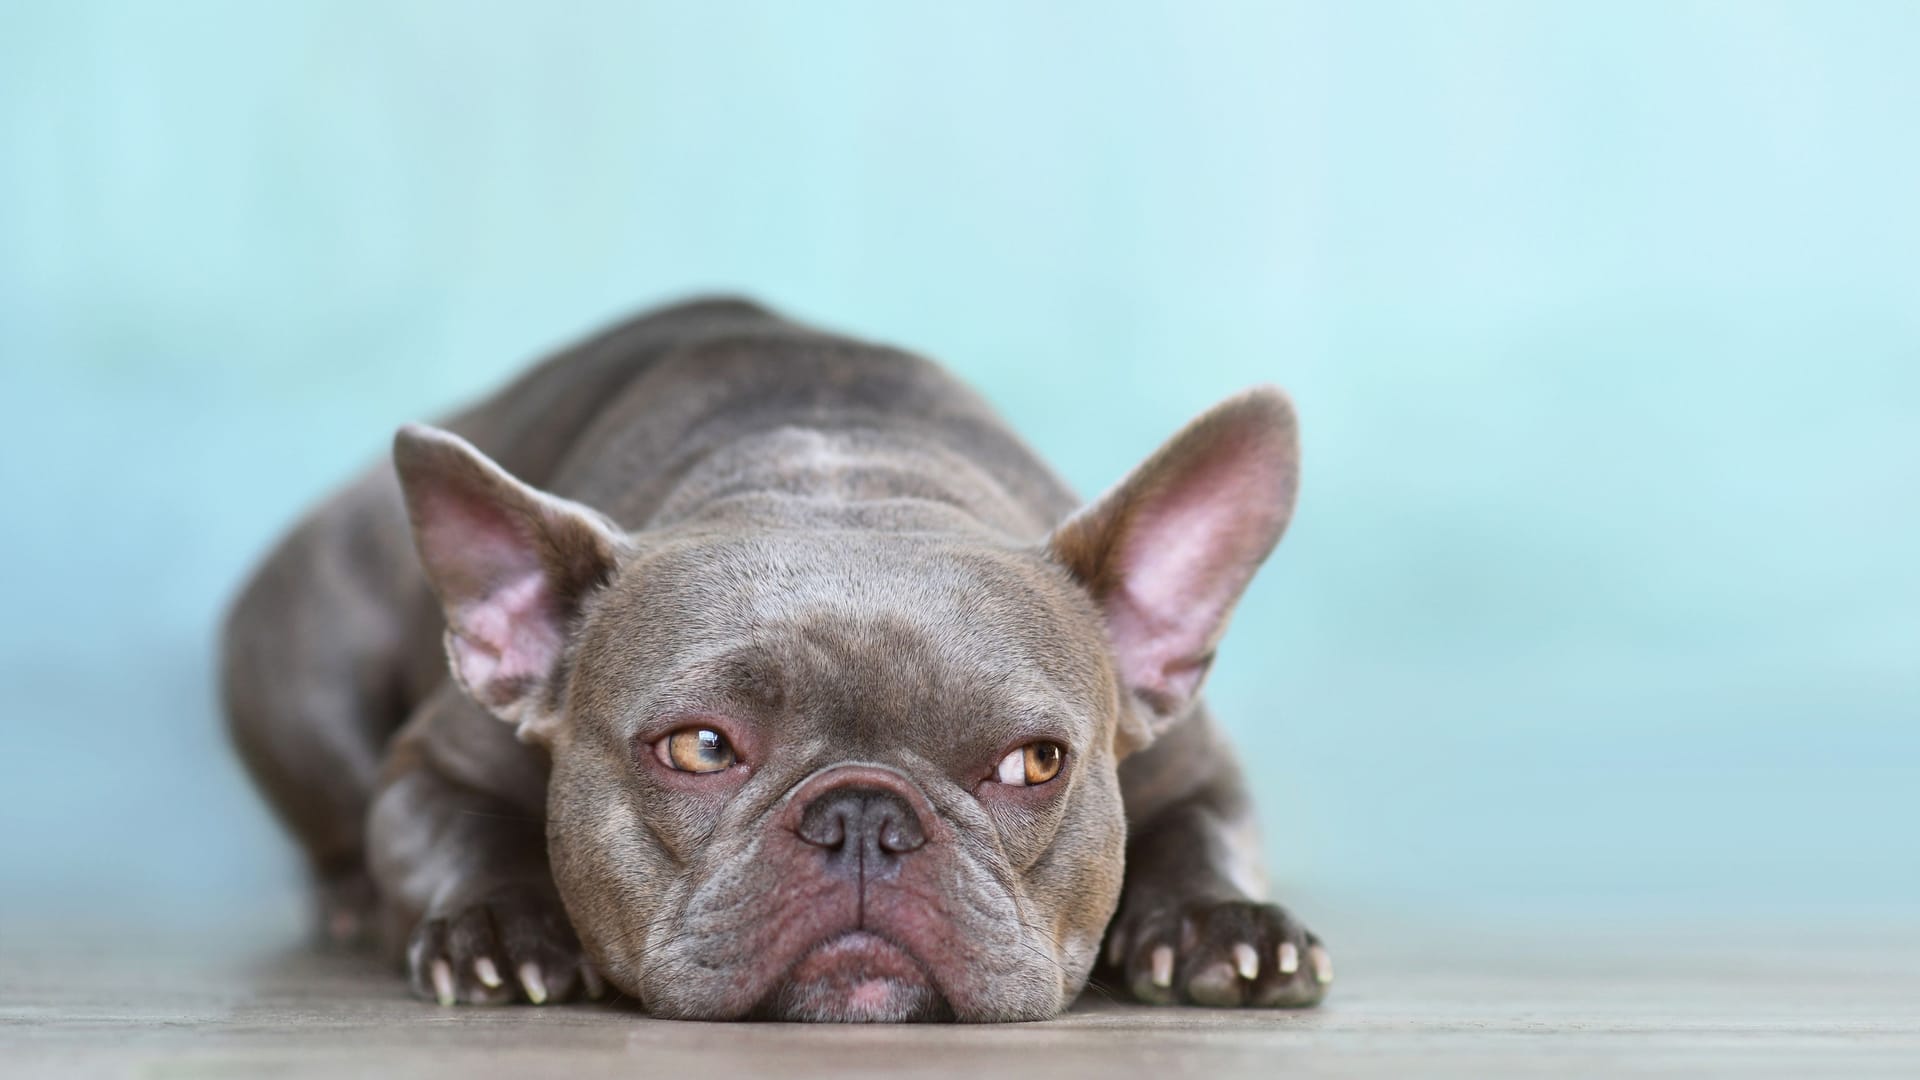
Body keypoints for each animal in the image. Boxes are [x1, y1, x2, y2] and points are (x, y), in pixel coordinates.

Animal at [217, 295, 1328, 1014]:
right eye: (700, 748)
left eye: (1035, 764)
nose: (865, 817)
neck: (843, 476)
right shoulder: (430, 764)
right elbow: (452, 830)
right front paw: (500, 927)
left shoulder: (1198, 763)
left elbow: (1204, 828)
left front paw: (1224, 922)